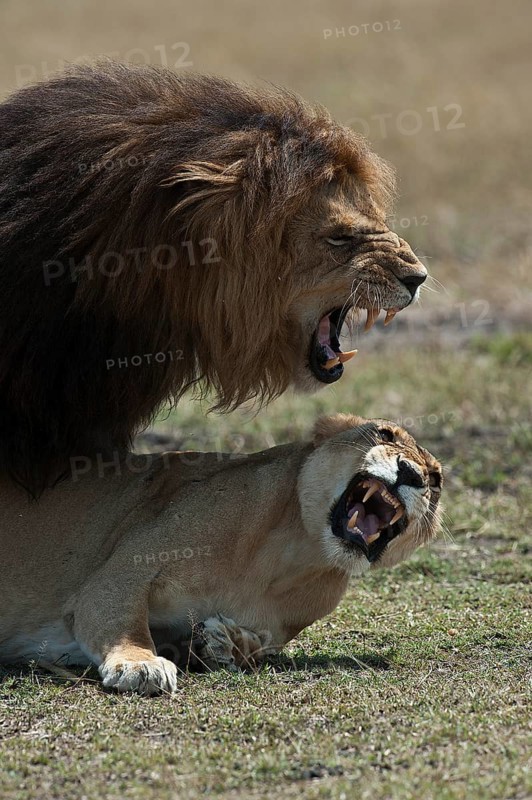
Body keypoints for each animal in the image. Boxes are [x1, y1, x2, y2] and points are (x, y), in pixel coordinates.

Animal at [0, 413, 442, 694]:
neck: (293, 552)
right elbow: (123, 621)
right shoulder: (121, 574)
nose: (412, 474)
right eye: (385, 434)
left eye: (436, 481)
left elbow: (256, 647)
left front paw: (225, 642)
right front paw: (140, 663)